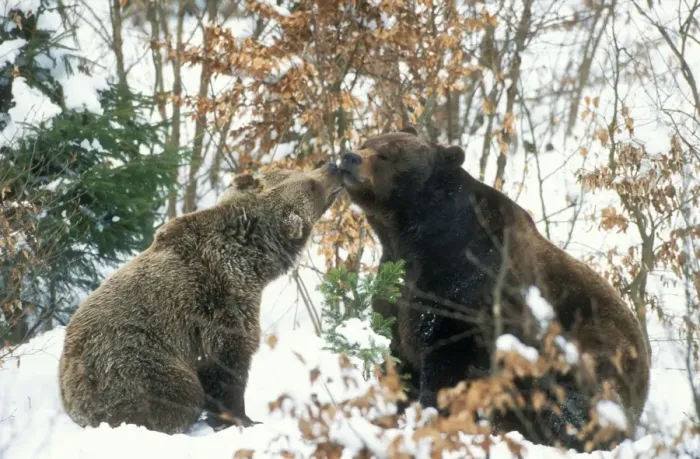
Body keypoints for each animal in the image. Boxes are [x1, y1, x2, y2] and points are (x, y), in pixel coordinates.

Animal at [59, 163, 343, 434]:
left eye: (298, 171)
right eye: (311, 186)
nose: (333, 167)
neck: (251, 257)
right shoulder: (218, 303)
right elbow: (227, 365)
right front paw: (242, 420)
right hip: (135, 363)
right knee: (177, 394)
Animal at [337, 128, 650, 451]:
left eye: (388, 154)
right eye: (367, 142)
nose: (350, 157)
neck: (413, 237)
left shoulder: (470, 290)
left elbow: (448, 363)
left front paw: (434, 415)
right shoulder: (398, 289)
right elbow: (399, 355)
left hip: (590, 350)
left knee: (574, 404)